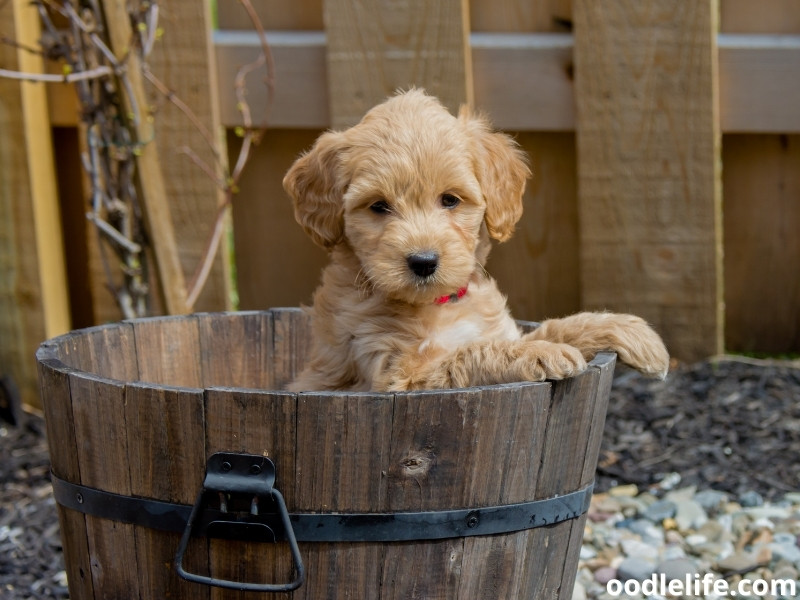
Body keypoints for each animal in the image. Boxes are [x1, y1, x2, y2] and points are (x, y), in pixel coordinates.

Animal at [282, 86, 668, 392]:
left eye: (450, 200)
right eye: (378, 206)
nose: (423, 262)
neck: (439, 305)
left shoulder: (495, 330)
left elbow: (556, 327)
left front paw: (633, 332)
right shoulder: (398, 372)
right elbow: (471, 352)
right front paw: (539, 353)